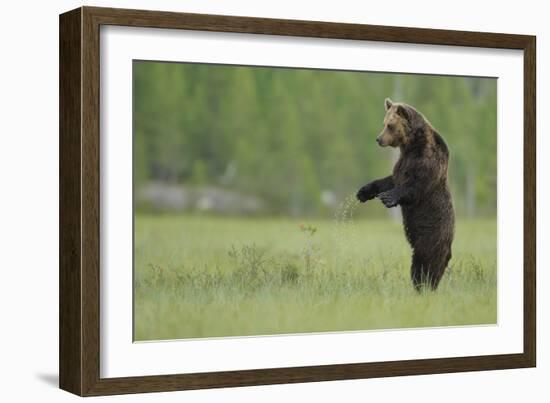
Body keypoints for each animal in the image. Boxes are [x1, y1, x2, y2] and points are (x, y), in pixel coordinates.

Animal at [358, 99, 458, 292]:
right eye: (383, 123)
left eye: (390, 125)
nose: (378, 139)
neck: (411, 145)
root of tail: (449, 248)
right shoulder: (402, 163)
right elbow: (390, 179)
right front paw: (363, 192)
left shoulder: (427, 161)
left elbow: (415, 185)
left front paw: (388, 198)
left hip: (431, 237)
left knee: (425, 265)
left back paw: (424, 287)